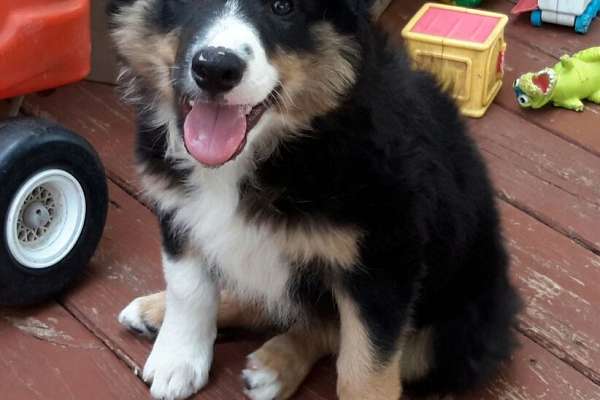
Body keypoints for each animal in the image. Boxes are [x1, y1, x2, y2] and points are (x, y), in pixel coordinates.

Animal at [108, 0, 520, 400]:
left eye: (283, 8)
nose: (215, 69)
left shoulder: (384, 260)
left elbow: (364, 370)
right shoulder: (177, 209)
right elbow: (189, 289)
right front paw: (177, 359)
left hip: (456, 331)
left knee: (336, 328)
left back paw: (277, 363)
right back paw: (154, 311)